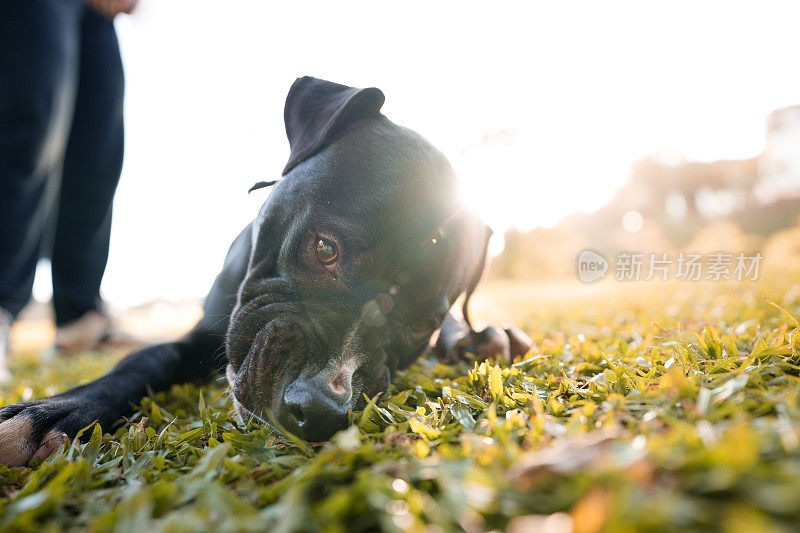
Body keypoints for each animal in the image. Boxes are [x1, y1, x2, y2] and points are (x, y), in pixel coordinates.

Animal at [0, 77, 532, 464]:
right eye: (325, 248)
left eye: (420, 323)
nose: (319, 409)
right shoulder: (203, 332)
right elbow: (147, 358)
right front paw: (56, 411)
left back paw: (486, 337)